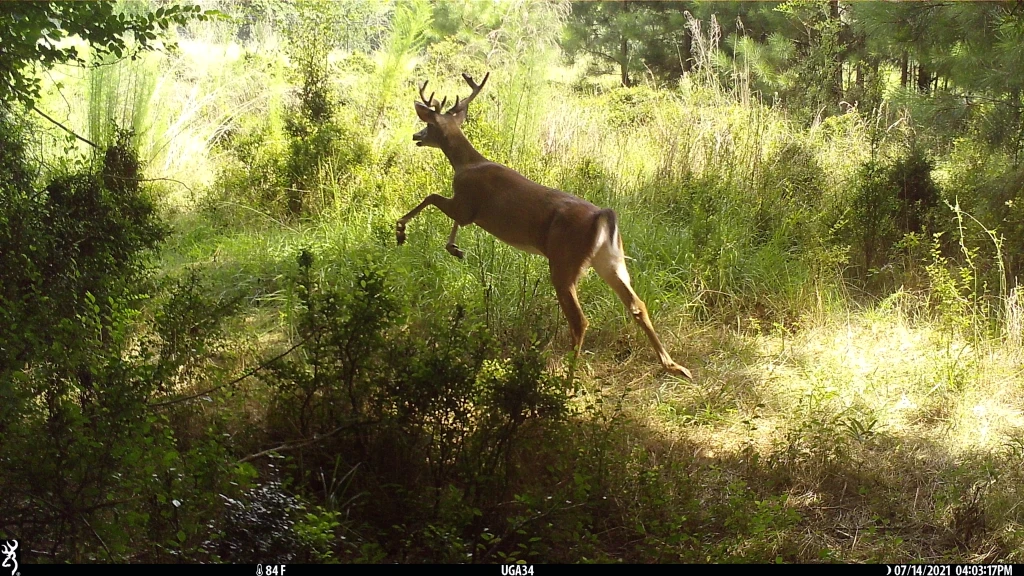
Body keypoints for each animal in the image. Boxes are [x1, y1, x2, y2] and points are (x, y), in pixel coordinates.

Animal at [396, 72, 692, 379]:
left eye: (428, 124)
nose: (416, 136)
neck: (466, 164)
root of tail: (602, 216)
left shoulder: (466, 205)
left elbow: (431, 197)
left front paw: (401, 230)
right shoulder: (464, 209)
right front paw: (453, 247)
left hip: (564, 261)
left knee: (580, 320)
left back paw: (567, 382)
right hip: (610, 260)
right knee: (637, 304)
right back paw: (674, 365)